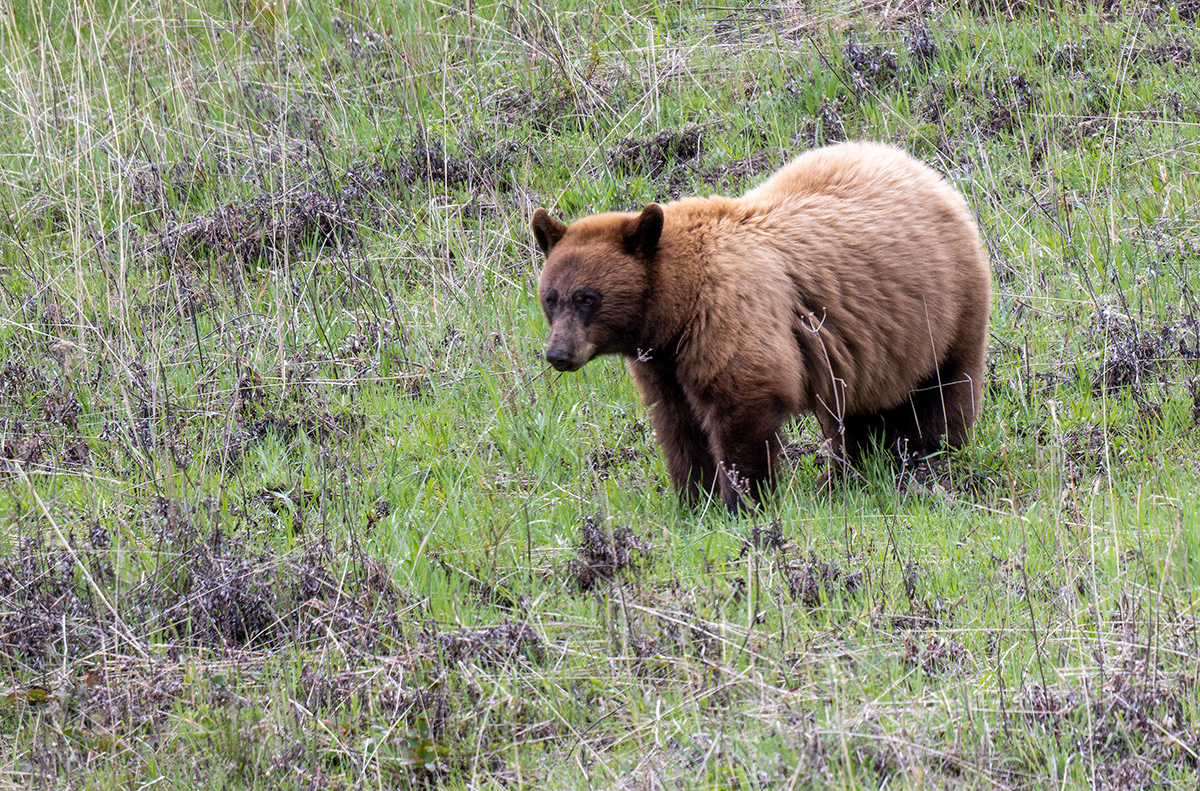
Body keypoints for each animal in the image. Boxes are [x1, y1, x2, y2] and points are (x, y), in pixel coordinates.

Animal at [530, 141, 988, 513]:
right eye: (550, 297)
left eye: (588, 297)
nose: (558, 354)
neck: (678, 304)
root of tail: (923, 169)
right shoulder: (663, 362)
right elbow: (679, 426)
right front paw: (696, 502)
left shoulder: (731, 314)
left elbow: (743, 405)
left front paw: (745, 502)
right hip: (877, 344)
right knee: (858, 409)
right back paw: (848, 473)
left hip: (947, 306)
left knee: (943, 390)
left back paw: (927, 459)